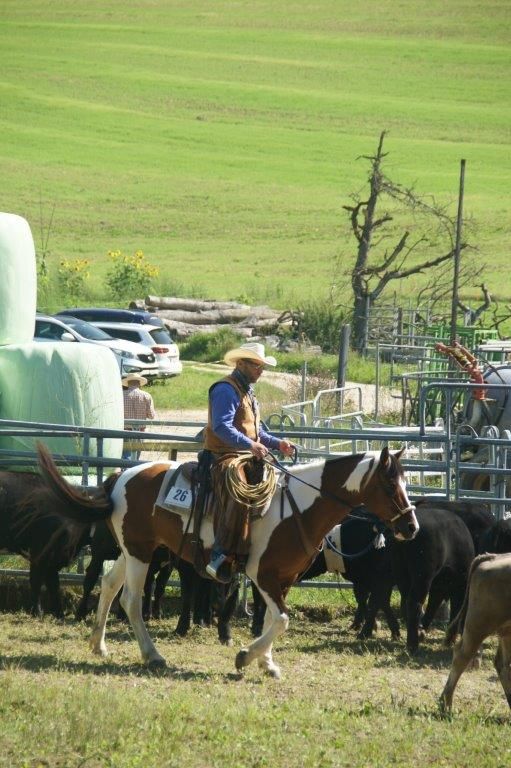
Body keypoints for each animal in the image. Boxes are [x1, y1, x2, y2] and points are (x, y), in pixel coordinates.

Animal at [35, 443, 419, 678]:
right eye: (389, 485)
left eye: (405, 481)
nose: (411, 527)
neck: (298, 506)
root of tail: (121, 477)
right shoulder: (262, 574)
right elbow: (281, 619)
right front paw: (247, 657)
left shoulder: (283, 578)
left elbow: (272, 619)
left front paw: (267, 663)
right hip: (141, 553)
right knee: (130, 600)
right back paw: (153, 655)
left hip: (134, 551)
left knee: (109, 584)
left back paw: (98, 645)